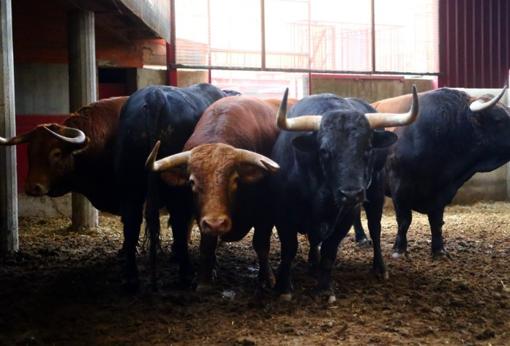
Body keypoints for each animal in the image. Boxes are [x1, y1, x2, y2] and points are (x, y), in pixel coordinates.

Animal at [116, 83, 228, 290]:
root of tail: (154, 96)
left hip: (129, 182)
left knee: (131, 221)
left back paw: (131, 278)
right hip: (175, 188)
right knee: (178, 220)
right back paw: (185, 273)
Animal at [146, 96, 282, 290]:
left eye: (235, 180)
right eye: (192, 182)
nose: (216, 223)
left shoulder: (266, 213)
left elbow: (261, 244)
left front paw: (267, 278)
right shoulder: (203, 218)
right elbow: (206, 246)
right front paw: (204, 279)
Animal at [270, 87, 418, 302]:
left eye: (368, 148)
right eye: (324, 151)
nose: (351, 194)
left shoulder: (345, 218)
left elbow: (329, 251)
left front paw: (324, 288)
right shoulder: (282, 214)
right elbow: (289, 249)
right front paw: (283, 287)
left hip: (375, 194)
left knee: (375, 229)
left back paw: (380, 268)